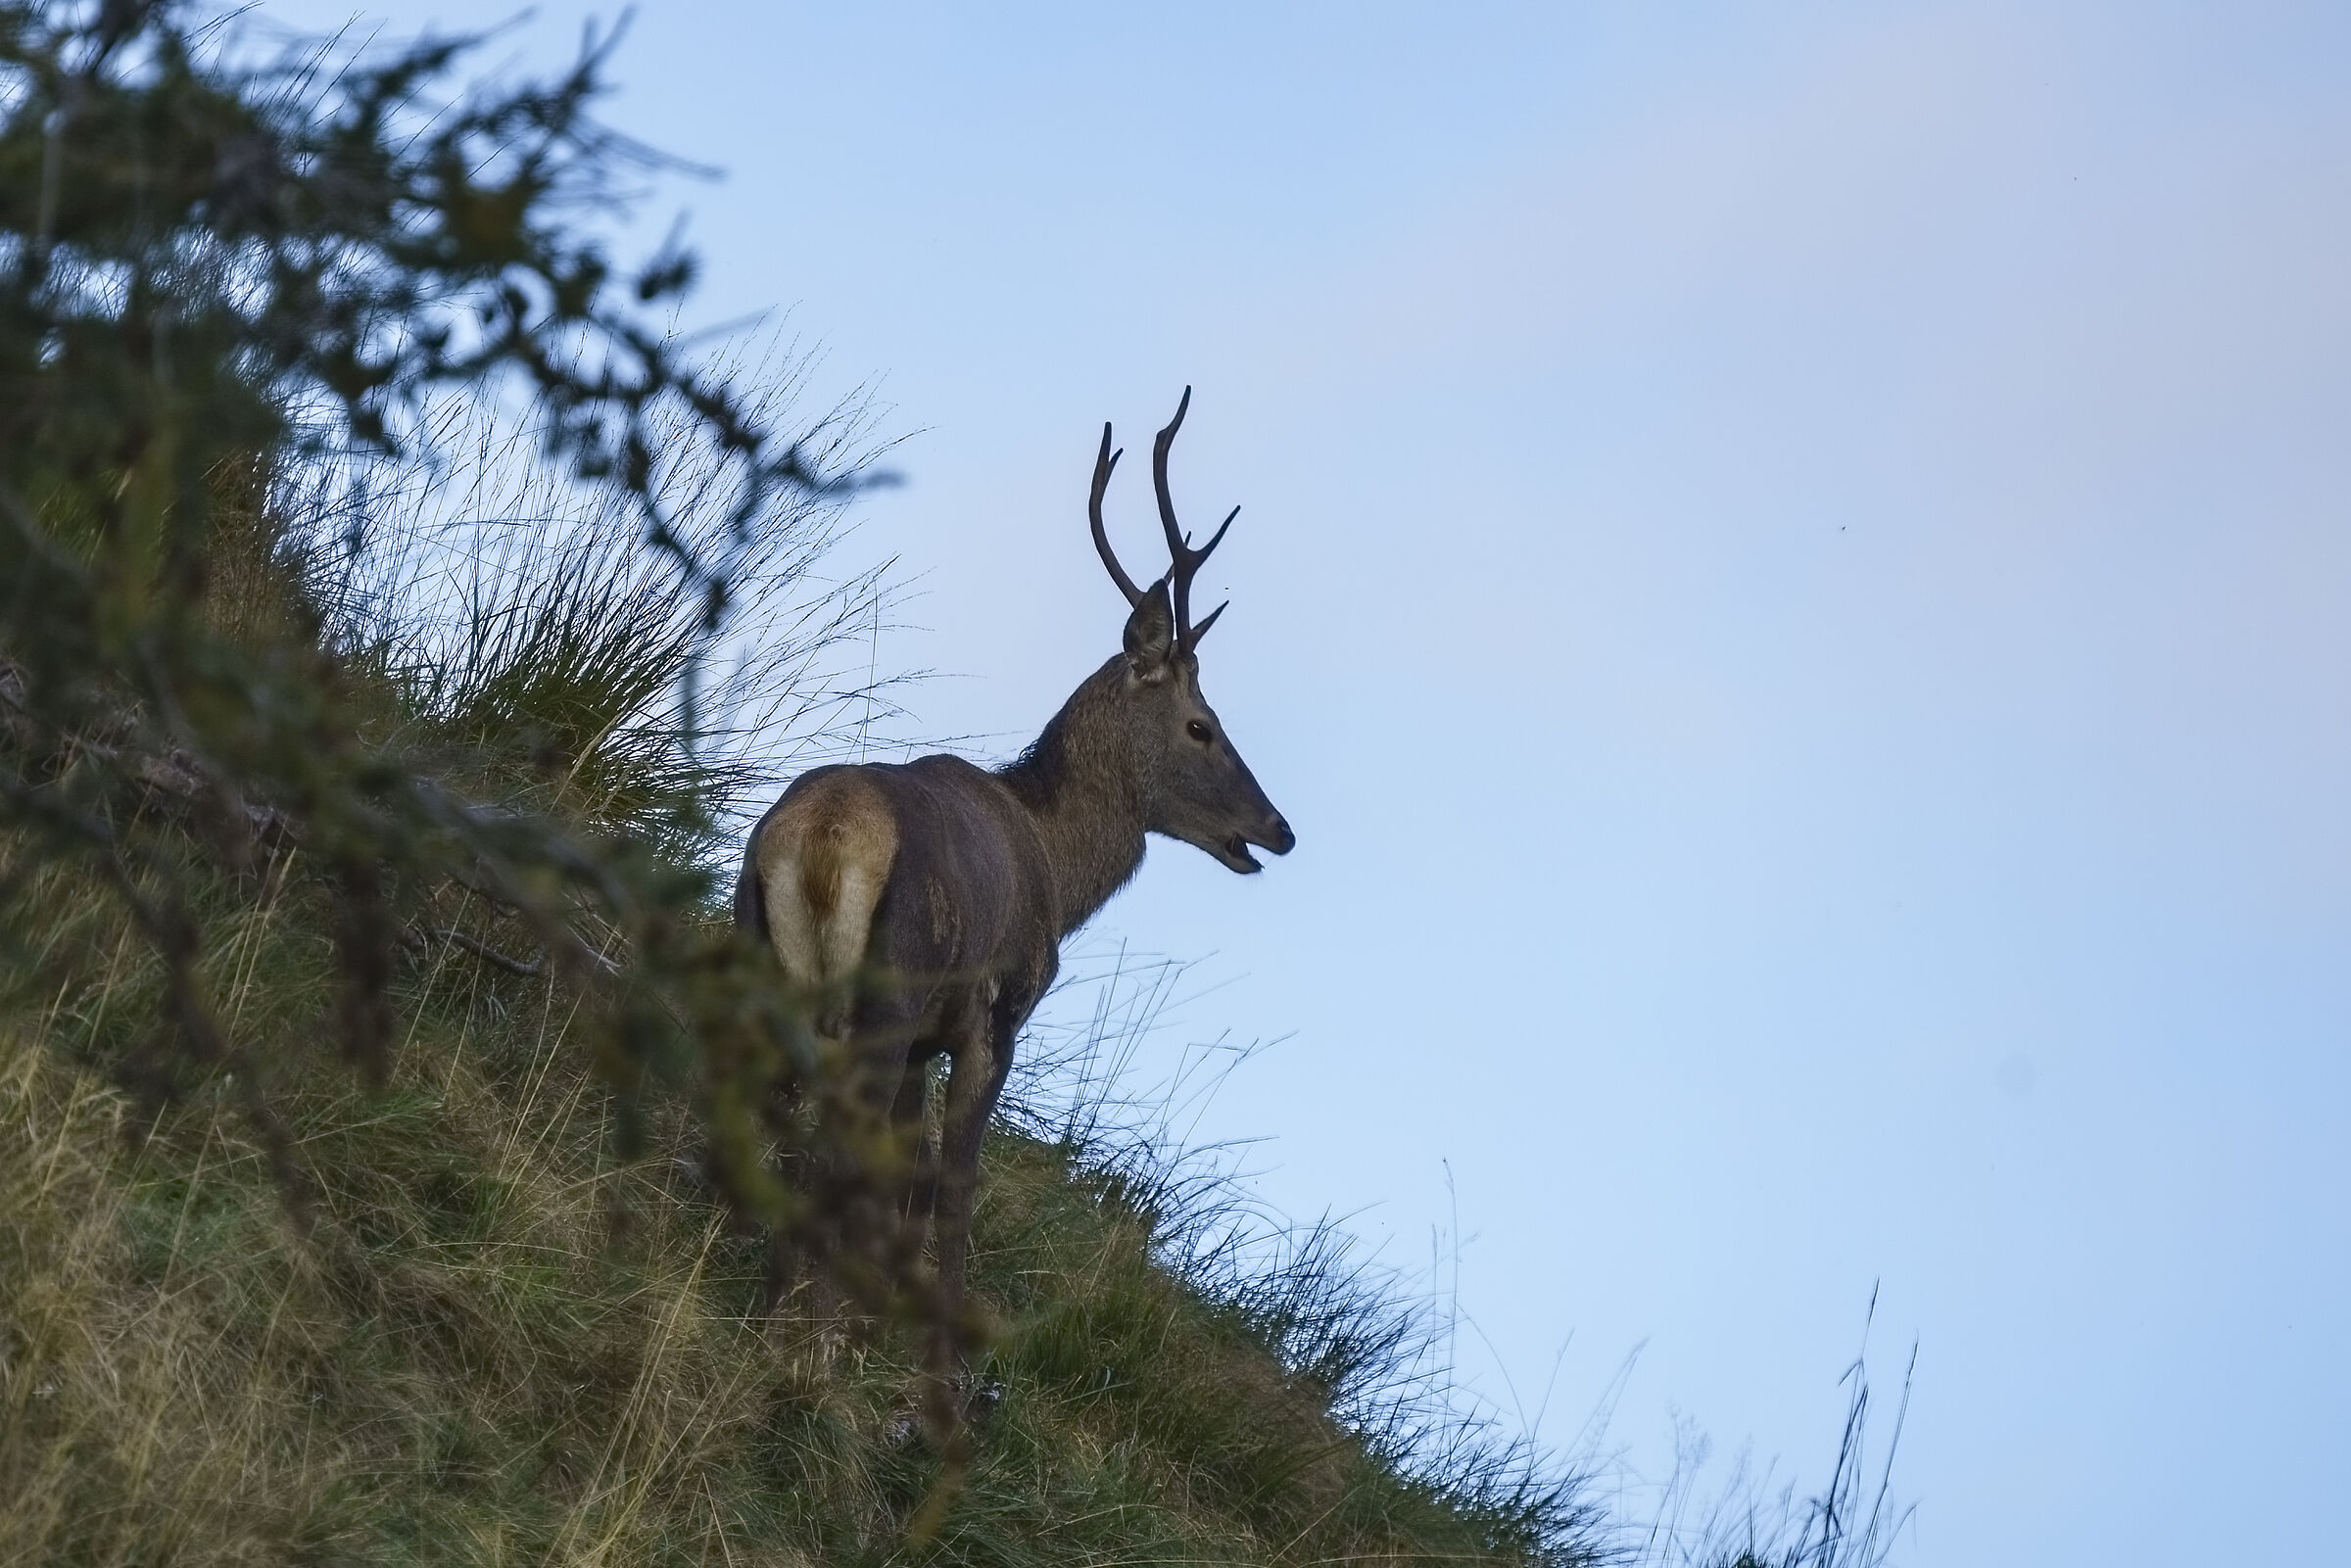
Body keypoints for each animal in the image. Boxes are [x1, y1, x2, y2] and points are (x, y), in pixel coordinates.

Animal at [733, 387, 1294, 1406]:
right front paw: (940, 1366)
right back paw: (809, 1347)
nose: (1278, 828)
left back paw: (776, 1311)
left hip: (759, 948)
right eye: (1203, 723)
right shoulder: (994, 1011)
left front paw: (878, 1325)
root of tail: (823, 837)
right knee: (835, 1143)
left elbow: (908, 1175)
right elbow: (956, 1181)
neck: (1059, 867)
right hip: (887, 989)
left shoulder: (923, 1044)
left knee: (787, 1129)